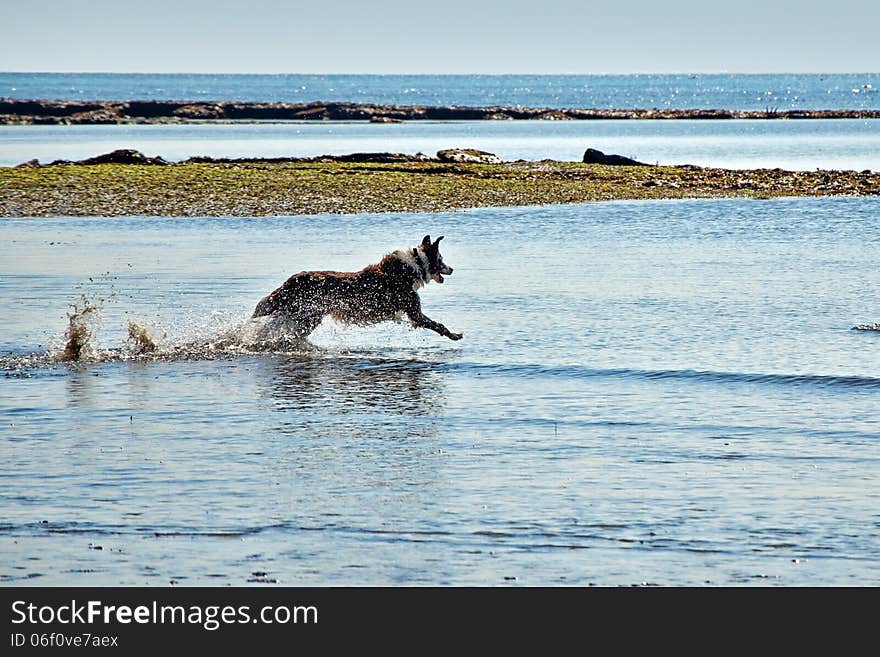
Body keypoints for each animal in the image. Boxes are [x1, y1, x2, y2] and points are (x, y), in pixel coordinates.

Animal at [251, 233, 464, 340]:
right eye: (441, 259)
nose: (452, 269)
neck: (414, 266)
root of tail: (293, 279)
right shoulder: (413, 310)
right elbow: (437, 325)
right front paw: (454, 334)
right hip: (303, 312)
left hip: (308, 315)